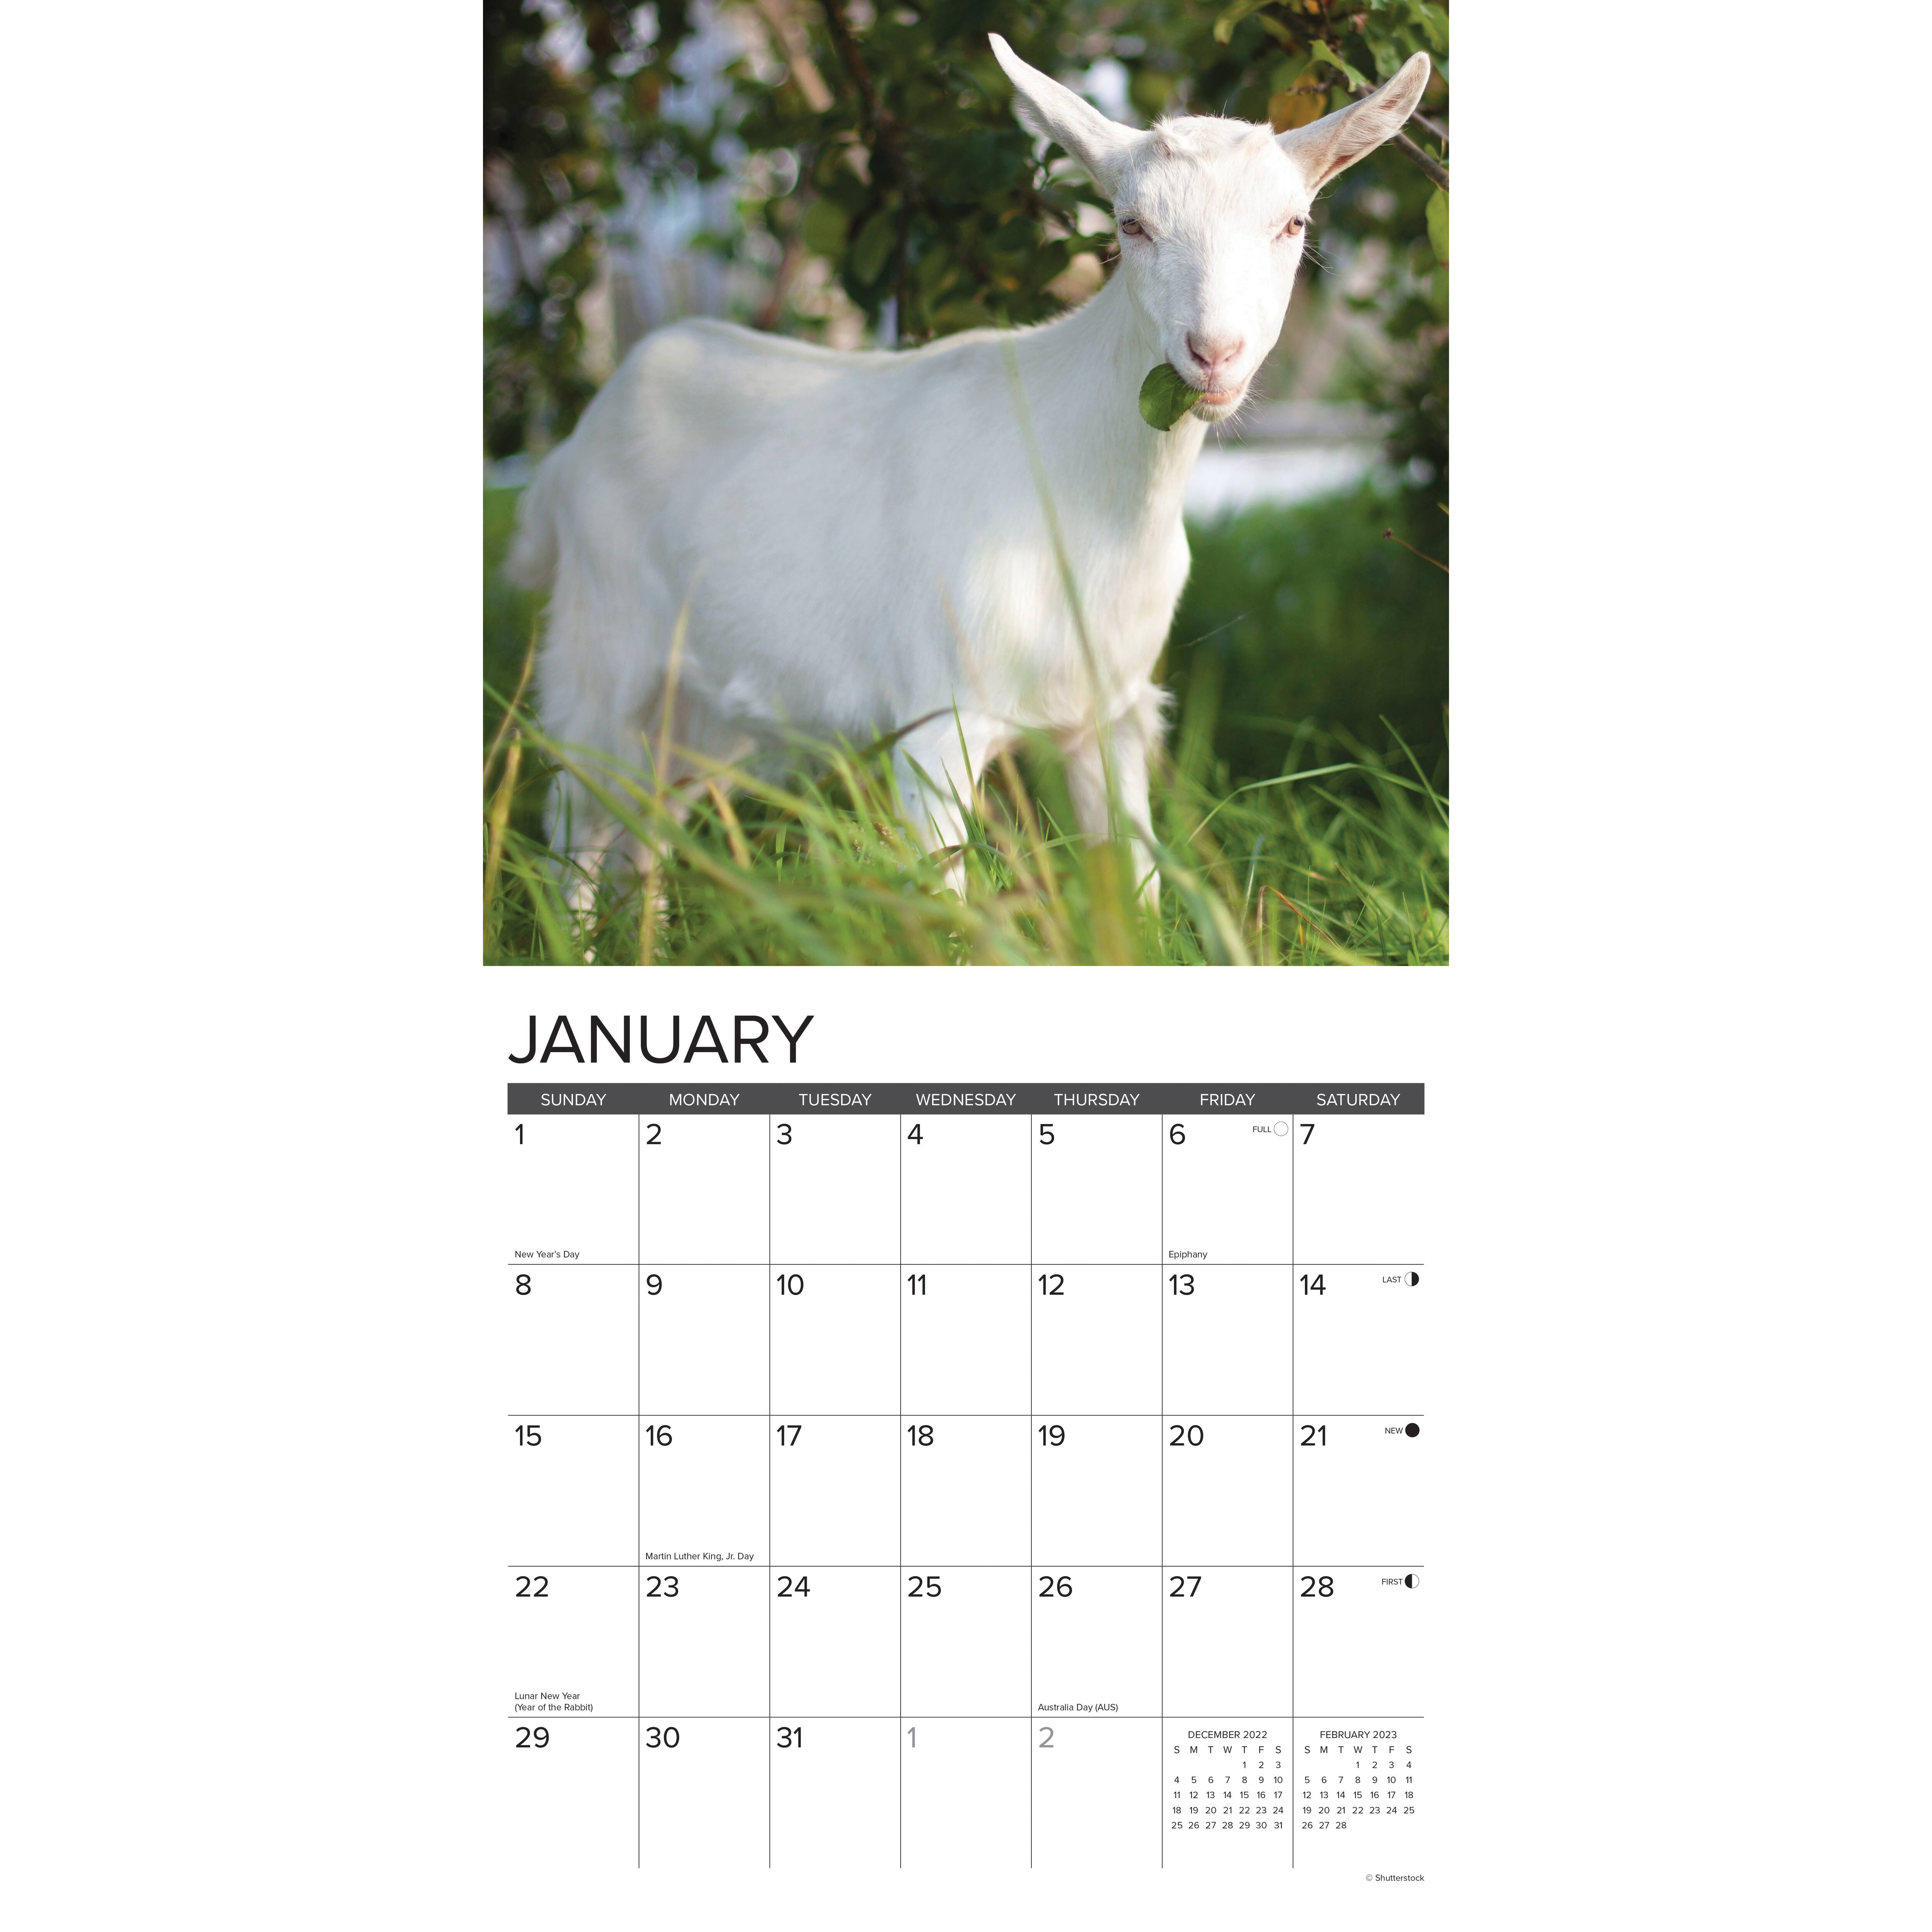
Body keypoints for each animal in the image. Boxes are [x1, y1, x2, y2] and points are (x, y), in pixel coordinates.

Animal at [507, 35, 1430, 908]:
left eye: (1293, 225)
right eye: (1132, 225)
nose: (1214, 353)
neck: (1088, 501)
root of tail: (573, 446)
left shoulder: (1112, 710)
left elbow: (1137, 885)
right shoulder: (936, 718)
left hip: (698, 710)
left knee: (644, 833)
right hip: (596, 654)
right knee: (572, 831)